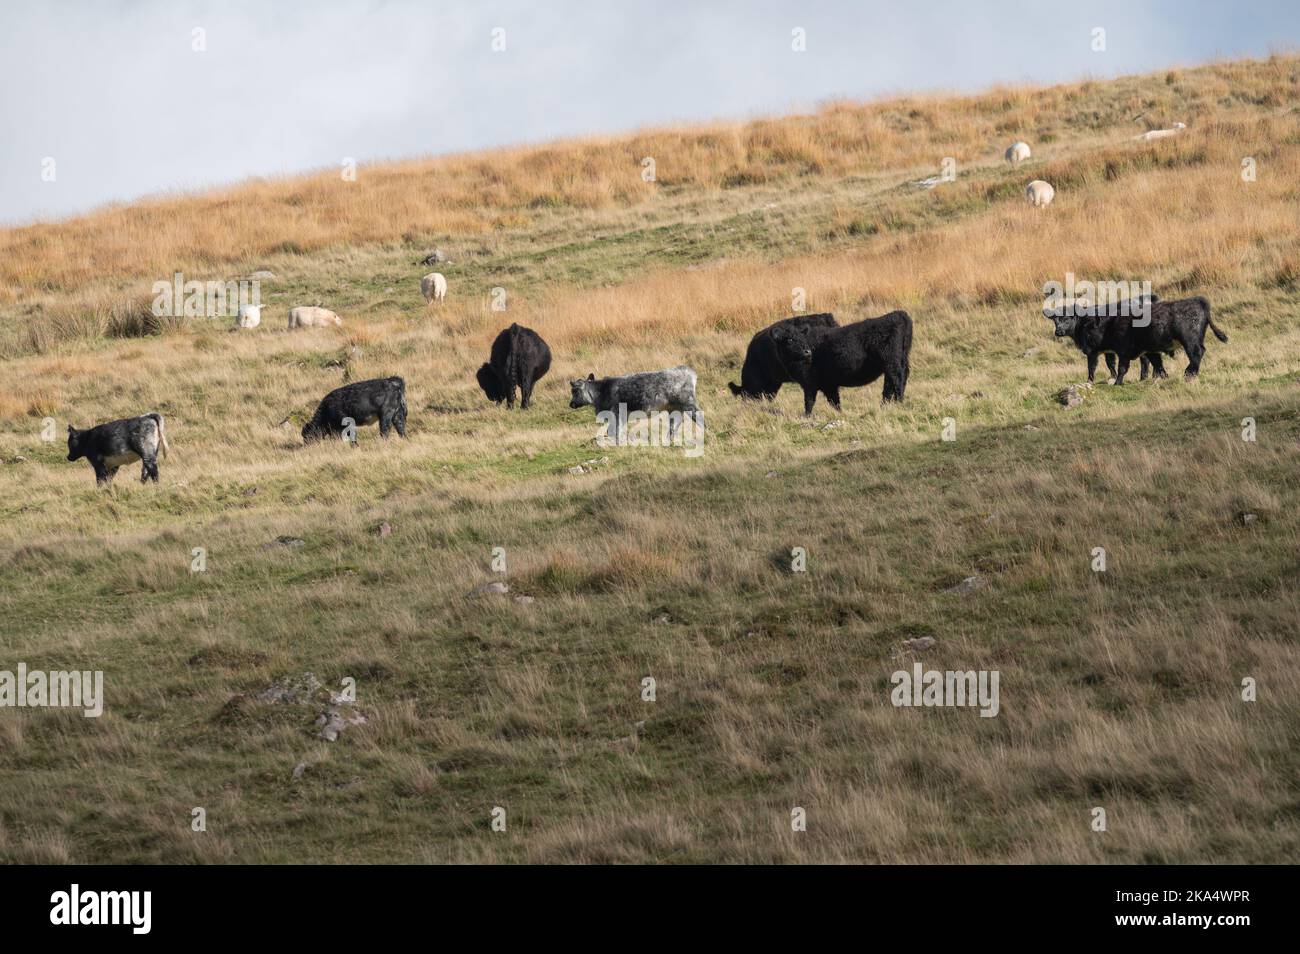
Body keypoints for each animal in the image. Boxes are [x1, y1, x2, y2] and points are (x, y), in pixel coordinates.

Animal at [572, 366, 707, 444]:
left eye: (576, 391)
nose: (571, 404)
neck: (602, 391)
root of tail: (686, 369)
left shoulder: (616, 413)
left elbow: (615, 430)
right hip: (674, 408)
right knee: (675, 423)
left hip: (688, 402)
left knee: (698, 416)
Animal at [769, 310, 915, 415]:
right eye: (789, 340)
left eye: (802, 337)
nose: (807, 351)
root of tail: (898, 314)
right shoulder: (828, 384)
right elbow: (835, 401)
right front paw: (840, 413)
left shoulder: (809, 382)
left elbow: (809, 401)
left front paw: (806, 416)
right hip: (901, 360)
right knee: (897, 381)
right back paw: (890, 403)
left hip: (891, 362)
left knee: (895, 380)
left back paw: (894, 403)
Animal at [1045, 295, 1227, 384]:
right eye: (1055, 320)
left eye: (1067, 318)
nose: (1058, 331)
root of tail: (1198, 301)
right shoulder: (1146, 351)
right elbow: (1157, 365)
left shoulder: (1108, 352)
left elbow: (1114, 368)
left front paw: (1115, 382)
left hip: (1189, 341)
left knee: (1196, 354)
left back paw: (1189, 373)